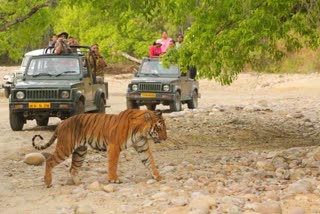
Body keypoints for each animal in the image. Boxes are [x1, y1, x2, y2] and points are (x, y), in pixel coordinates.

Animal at [32, 108, 168, 187]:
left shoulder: (142, 148)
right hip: (65, 148)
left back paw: (79, 184)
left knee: (72, 169)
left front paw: (158, 176)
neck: (141, 131)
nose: (165, 138)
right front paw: (114, 179)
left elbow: (150, 162)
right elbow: (112, 164)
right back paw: (48, 182)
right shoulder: (114, 146)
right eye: (159, 128)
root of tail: (62, 123)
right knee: (50, 160)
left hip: (80, 152)